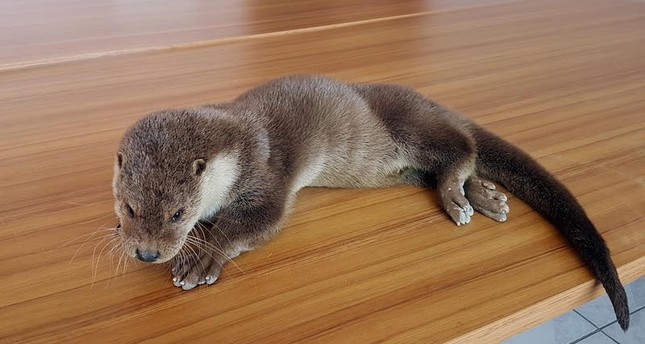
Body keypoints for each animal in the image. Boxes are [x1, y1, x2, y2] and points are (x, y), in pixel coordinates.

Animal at [112, 75, 628, 330]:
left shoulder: (267, 174)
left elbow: (257, 222)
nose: (148, 253)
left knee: (461, 149)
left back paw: (458, 197)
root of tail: (431, 103)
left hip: (413, 126)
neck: (239, 144)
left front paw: (202, 257)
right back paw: (485, 197)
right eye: (129, 208)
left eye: (178, 213)